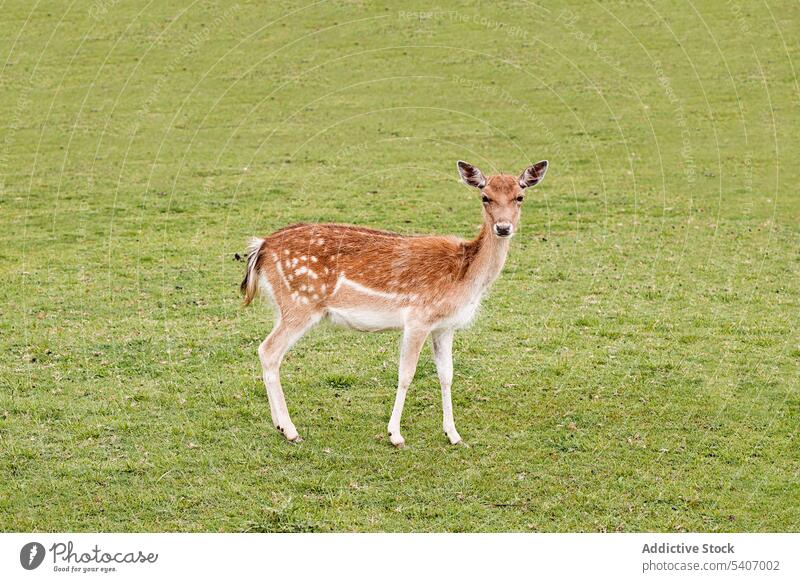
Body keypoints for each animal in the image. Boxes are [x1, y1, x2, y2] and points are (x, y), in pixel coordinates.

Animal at [241, 162, 548, 450]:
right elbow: (406, 374)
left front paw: (453, 435)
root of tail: (261, 247)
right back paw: (290, 430)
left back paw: (280, 425)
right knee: (268, 350)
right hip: (300, 303)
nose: (503, 227)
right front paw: (395, 435)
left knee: (268, 352)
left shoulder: (445, 326)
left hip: (287, 306)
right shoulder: (418, 318)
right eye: (485, 196)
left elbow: (447, 375)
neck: (465, 276)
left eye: (520, 196)